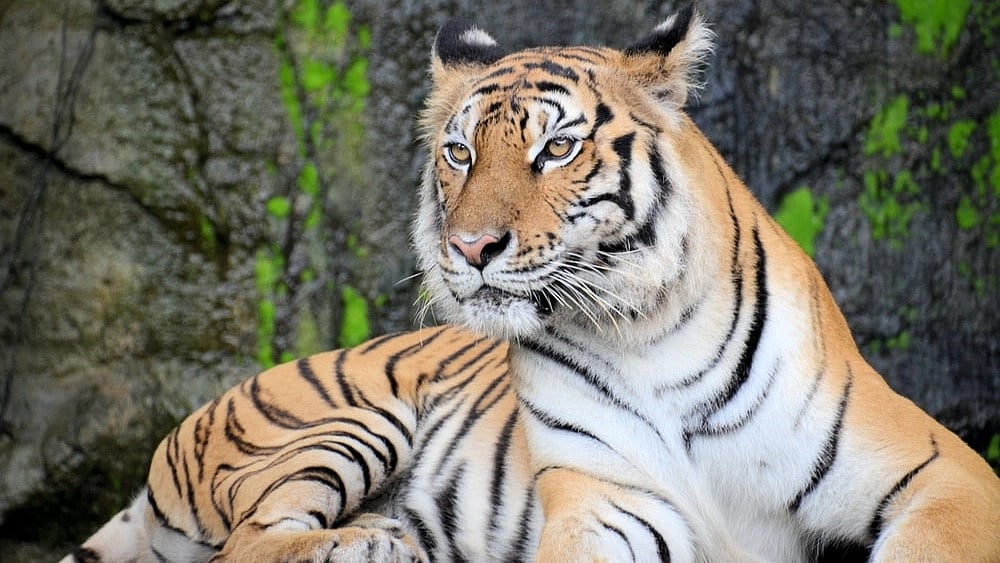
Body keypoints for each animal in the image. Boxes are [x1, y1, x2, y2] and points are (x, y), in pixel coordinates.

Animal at [63, 6, 999, 563]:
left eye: (556, 148)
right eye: (459, 151)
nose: (470, 246)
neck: (647, 332)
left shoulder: (944, 474)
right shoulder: (608, 501)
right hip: (340, 422)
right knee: (249, 541)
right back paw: (373, 543)